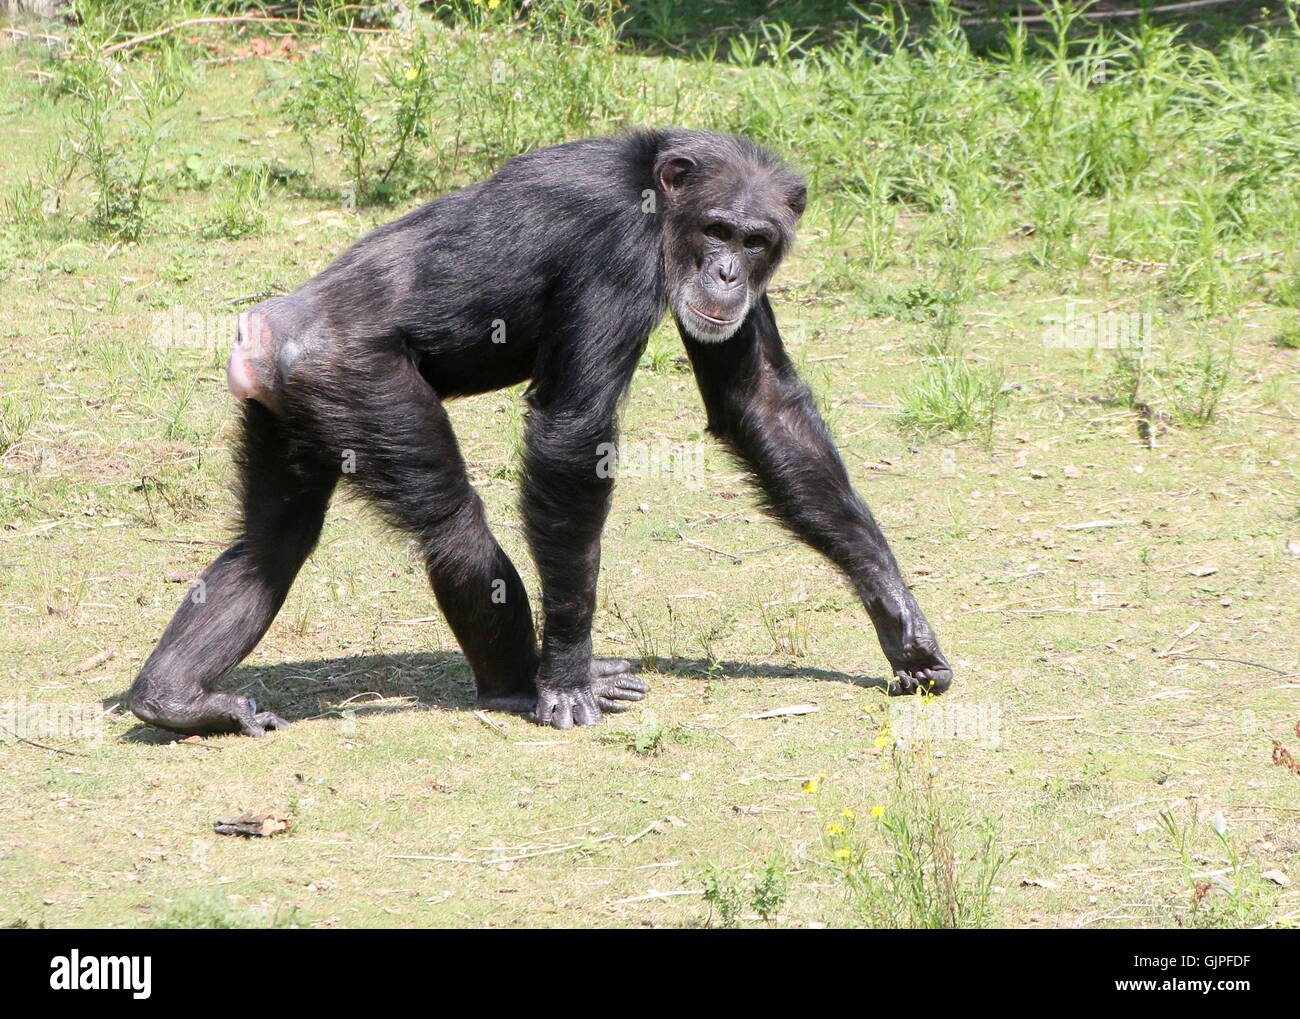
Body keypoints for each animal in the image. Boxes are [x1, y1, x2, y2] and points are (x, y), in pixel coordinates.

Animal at [126, 129, 951, 733]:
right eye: (718, 228)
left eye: (756, 240)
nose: (726, 274)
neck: (661, 198)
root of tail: (260, 339)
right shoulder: (618, 247)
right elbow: (572, 434)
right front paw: (568, 677)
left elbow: (760, 404)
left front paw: (902, 622)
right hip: (354, 380)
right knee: (454, 526)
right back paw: (520, 683)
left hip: (288, 411)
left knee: (269, 544)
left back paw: (177, 698)